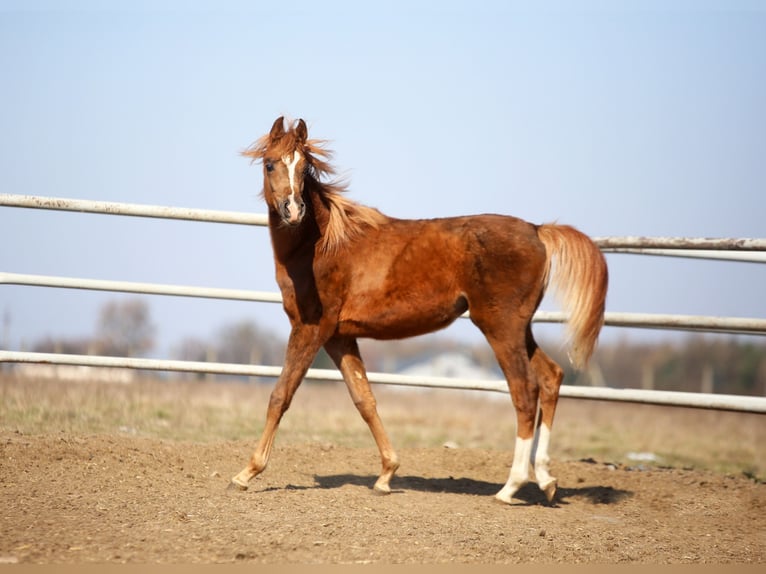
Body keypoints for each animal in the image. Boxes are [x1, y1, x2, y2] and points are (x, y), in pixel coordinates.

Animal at [230, 116, 608, 504]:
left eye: (304, 166)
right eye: (270, 163)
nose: (293, 210)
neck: (324, 244)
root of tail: (537, 230)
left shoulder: (309, 328)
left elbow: (281, 395)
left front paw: (246, 473)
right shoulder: (339, 337)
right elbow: (364, 399)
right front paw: (386, 474)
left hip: (500, 327)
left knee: (525, 391)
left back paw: (511, 486)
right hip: (521, 329)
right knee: (550, 377)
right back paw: (546, 480)